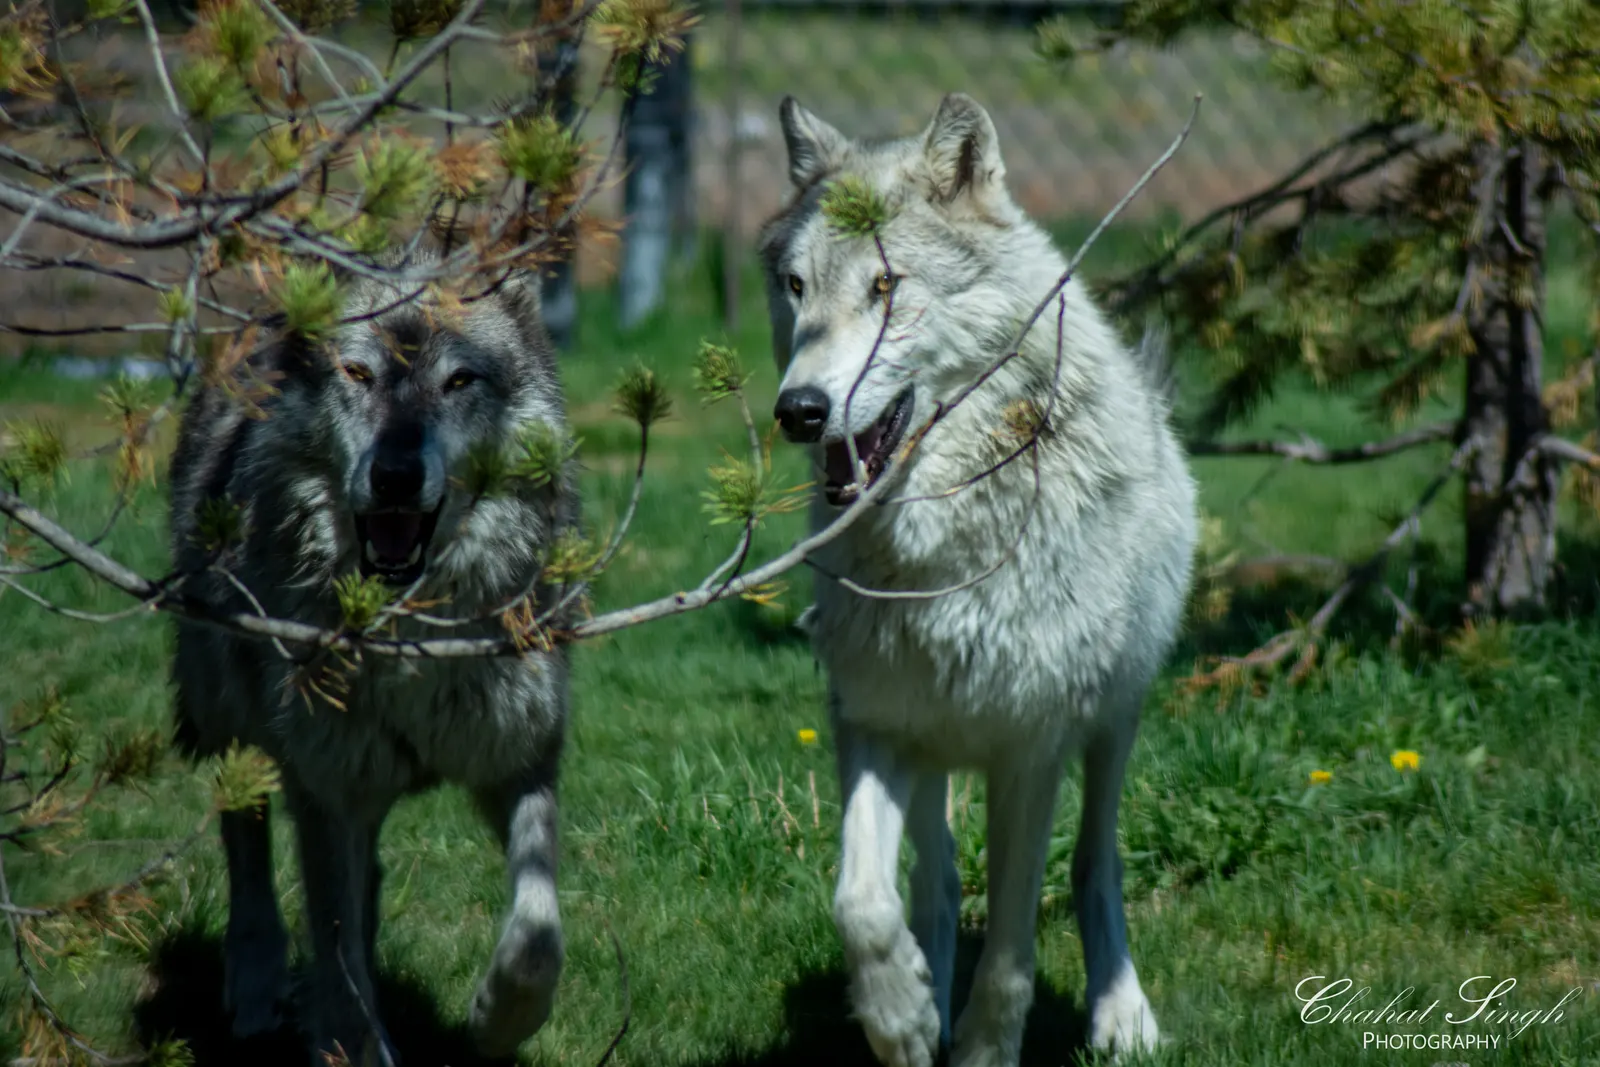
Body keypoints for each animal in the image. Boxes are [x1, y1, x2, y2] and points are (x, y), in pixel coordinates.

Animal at [168, 264, 578, 1065]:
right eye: (357, 373)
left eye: (459, 381)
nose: (394, 475)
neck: (412, 641)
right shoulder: (324, 785)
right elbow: (337, 953)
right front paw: (349, 1038)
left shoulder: (521, 756)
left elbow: (538, 935)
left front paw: (494, 1019)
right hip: (229, 711)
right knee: (244, 830)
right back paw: (257, 979)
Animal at [758, 94, 1198, 1067]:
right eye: (797, 288)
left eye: (886, 287)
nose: (798, 410)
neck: (939, 557)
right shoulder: (872, 722)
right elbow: (861, 902)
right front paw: (900, 1017)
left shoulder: (1030, 749)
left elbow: (1009, 955)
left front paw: (983, 1047)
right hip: (930, 741)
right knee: (936, 873)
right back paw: (924, 982)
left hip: (1112, 723)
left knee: (1095, 862)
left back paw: (1123, 1013)